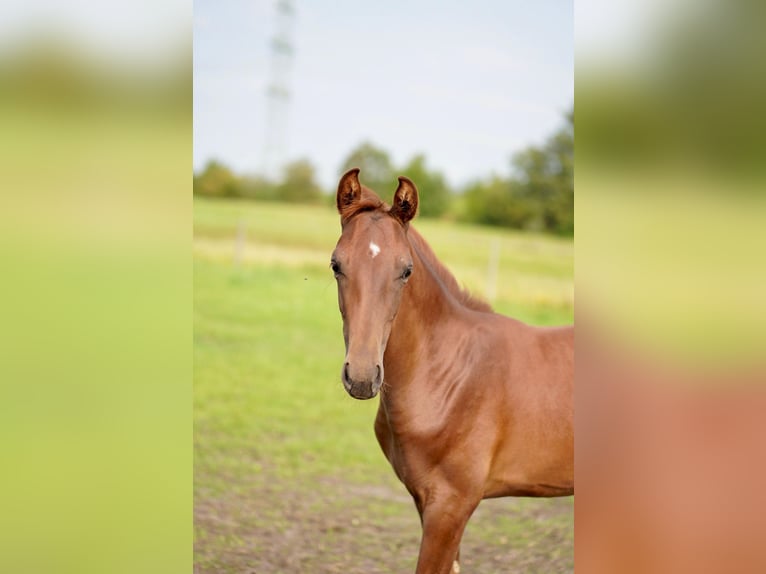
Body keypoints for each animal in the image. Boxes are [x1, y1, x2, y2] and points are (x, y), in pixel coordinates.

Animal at [332, 169, 576, 572]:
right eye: (336, 264)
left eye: (406, 270)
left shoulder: (451, 505)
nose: (363, 377)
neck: (449, 377)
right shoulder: (425, 500)